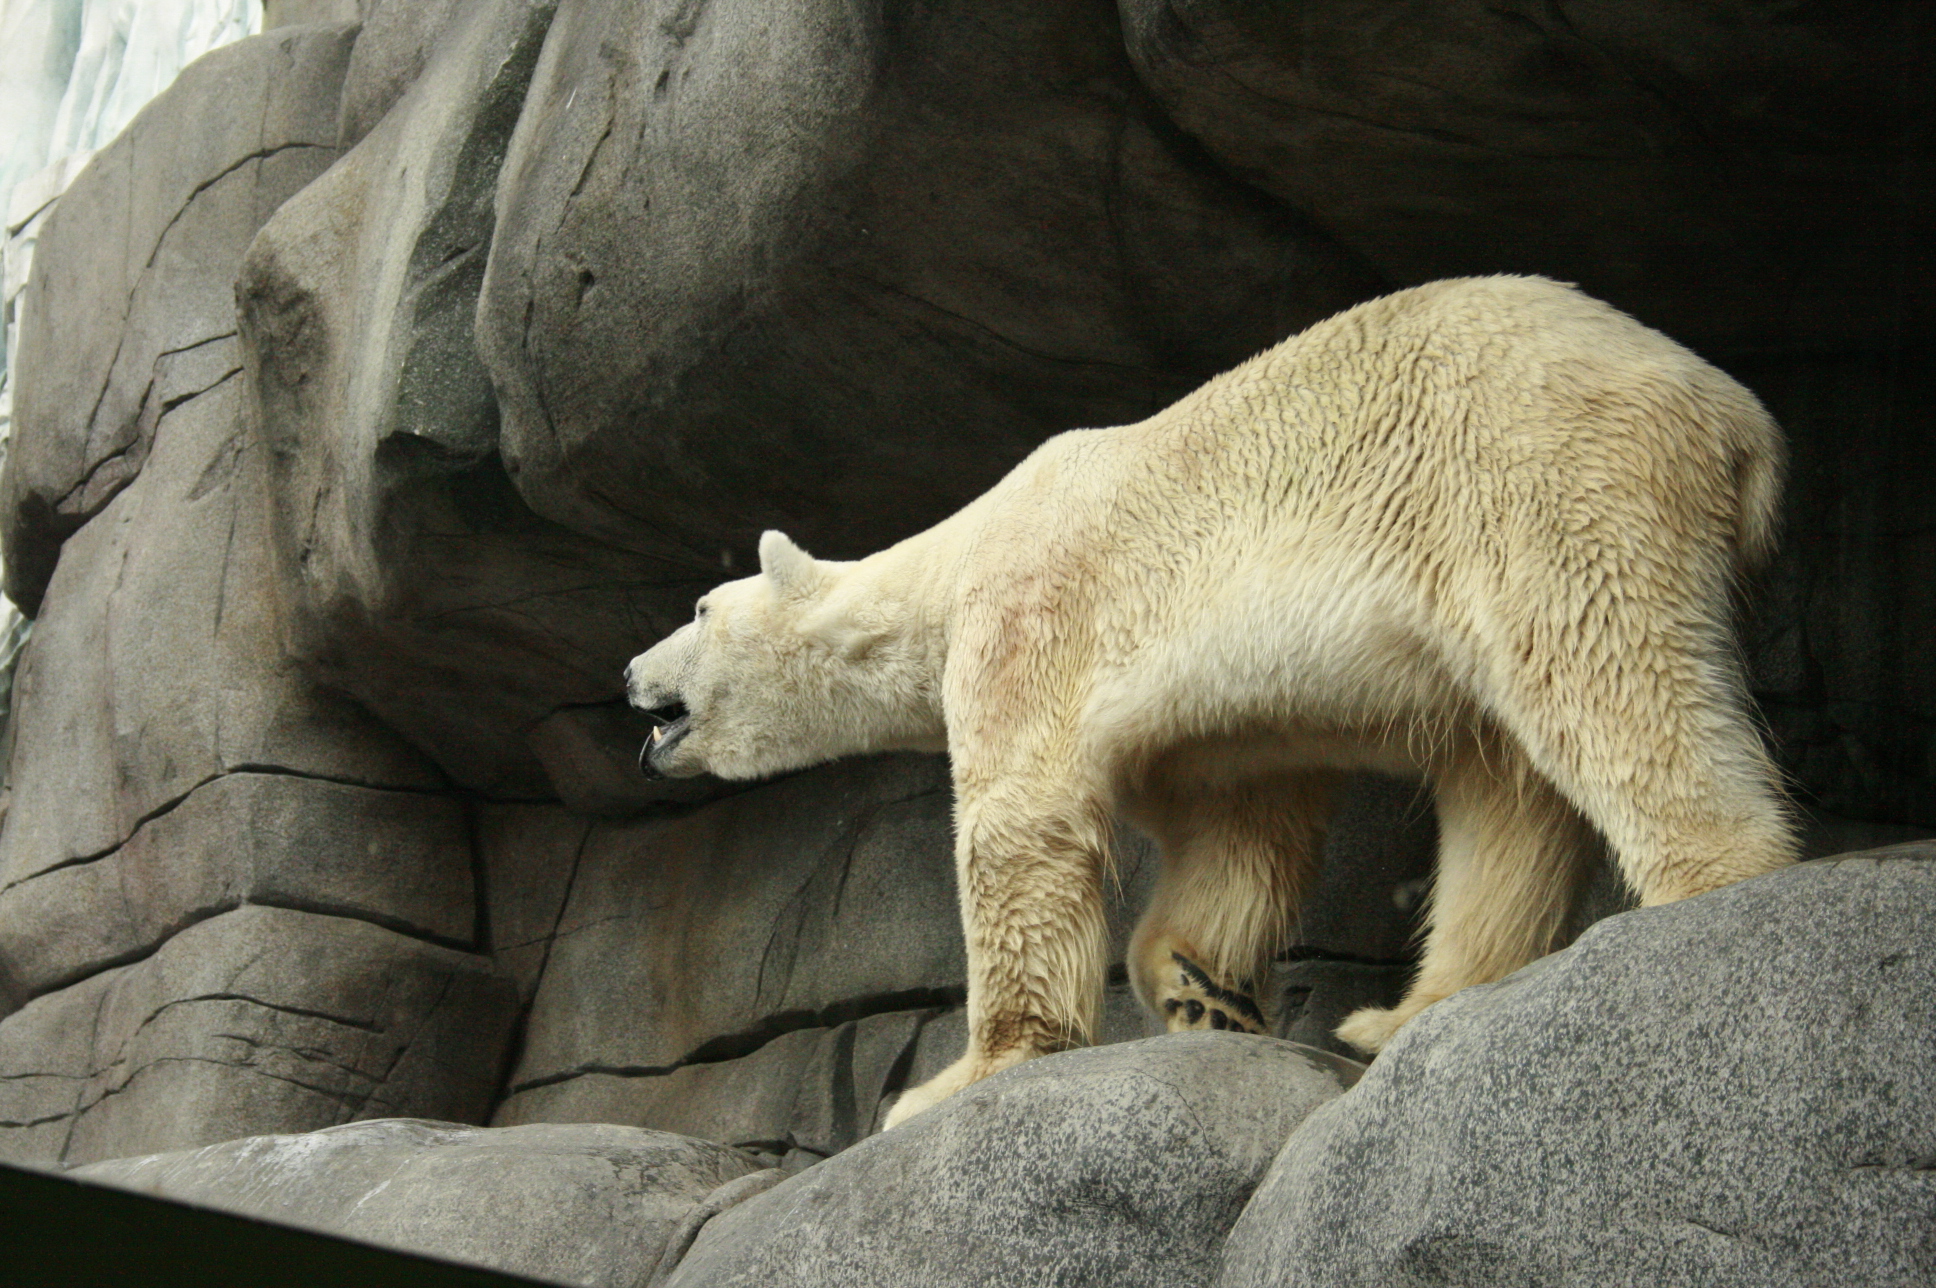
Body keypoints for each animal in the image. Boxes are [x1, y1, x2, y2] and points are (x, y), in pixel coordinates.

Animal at [627, 273, 1788, 1123]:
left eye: (696, 603)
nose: (630, 673)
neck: (950, 561)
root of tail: (1735, 414)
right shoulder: (1223, 736)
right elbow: (1240, 831)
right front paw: (1200, 990)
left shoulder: (1027, 616)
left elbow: (1019, 823)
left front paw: (956, 1079)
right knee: (1505, 779)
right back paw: (1403, 1012)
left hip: (1529, 475)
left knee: (1605, 667)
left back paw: (1710, 887)